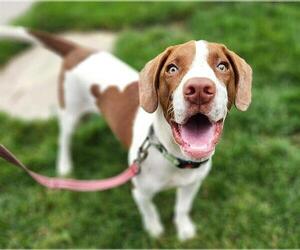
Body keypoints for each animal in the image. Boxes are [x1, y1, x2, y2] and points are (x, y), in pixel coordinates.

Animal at [0, 25, 253, 240]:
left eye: (222, 66)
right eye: (172, 68)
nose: (199, 89)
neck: (171, 155)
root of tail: (78, 49)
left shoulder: (192, 183)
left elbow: (182, 208)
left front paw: (184, 229)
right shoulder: (139, 192)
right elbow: (149, 210)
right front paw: (154, 230)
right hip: (71, 112)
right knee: (64, 138)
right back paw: (64, 166)